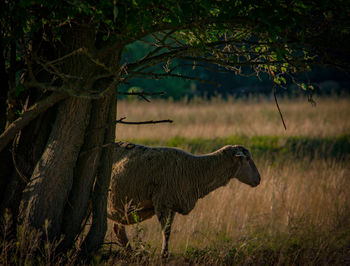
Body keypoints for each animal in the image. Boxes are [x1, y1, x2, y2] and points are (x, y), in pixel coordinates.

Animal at [108, 142, 262, 256]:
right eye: (247, 159)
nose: (259, 179)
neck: (194, 170)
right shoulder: (161, 202)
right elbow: (166, 231)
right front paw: (164, 255)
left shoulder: (172, 204)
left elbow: (169, 230)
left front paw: (165, 253)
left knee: (118, 230)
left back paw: (130, 252)